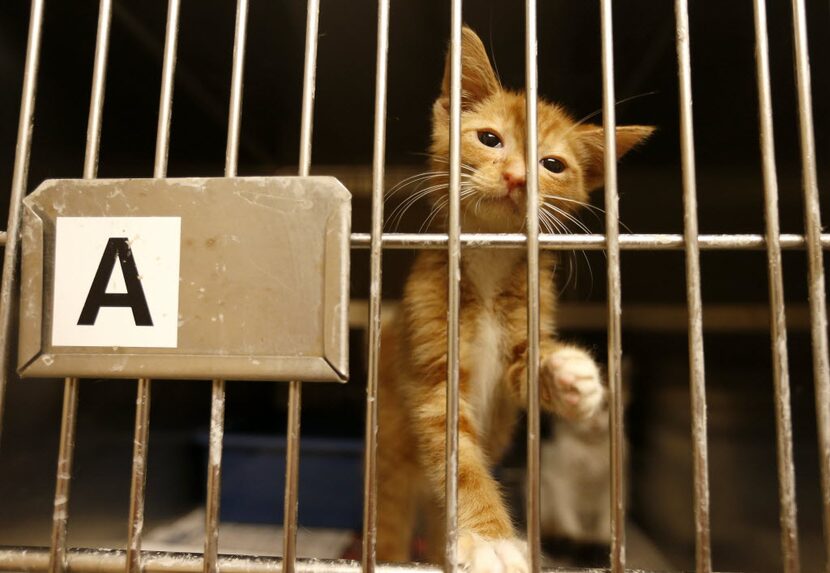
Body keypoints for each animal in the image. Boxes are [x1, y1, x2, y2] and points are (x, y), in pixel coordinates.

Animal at [378, 27, 656, 572]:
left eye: (553, 165)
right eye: (490, 139)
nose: (516, 177)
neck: (489, 259)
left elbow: (526, 369)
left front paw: (571, 376)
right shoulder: (433, 369)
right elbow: (460, 460)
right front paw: (491, 539)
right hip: (392, 461)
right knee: (390, 522)